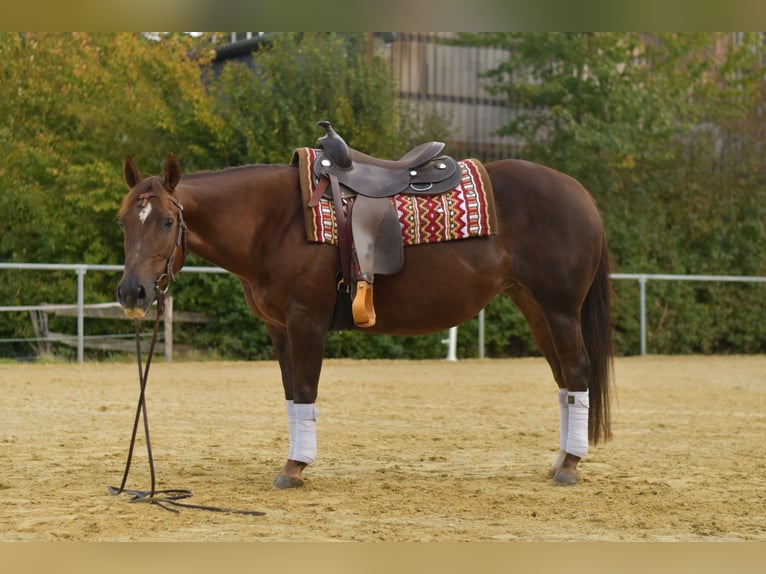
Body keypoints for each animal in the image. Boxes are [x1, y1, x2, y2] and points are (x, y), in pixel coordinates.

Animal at [116, 149, 614, 489]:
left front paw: (295, 468)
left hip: (560, 310)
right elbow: (291, 395)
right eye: (123, 221)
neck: (273, 223)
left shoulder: (306, 321)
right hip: (535, 308)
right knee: (564, 382)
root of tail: (582, 195)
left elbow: (305, 391)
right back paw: (560, 459)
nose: (132, 292)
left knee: (577, 372)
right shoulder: (278, 328)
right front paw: (293, 461)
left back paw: (570, 465)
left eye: (165, 222)